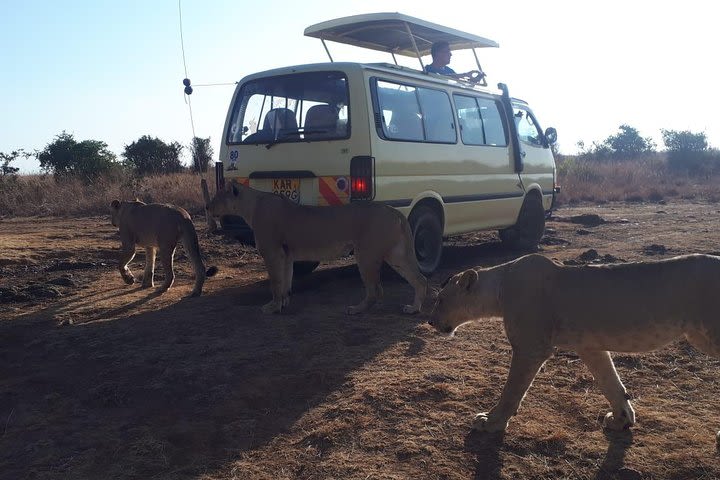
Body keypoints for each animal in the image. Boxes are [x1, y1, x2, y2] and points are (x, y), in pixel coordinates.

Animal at [205, 182, 424, 314]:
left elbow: (275, 282)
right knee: (419, 279)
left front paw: (272, 307)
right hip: (395, 254)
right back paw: (413, 308)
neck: (251, 205)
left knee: (376, 290)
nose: (207, 207)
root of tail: (394, 210)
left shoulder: (272, 252)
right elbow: (286, 281)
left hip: (367, 253)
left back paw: (356, 309)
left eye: (217, 196)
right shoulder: (286, 255)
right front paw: (283, 303)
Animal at [430, 253, 716, 444]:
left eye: (440, 299)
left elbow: (511, 390)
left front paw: (492, 422)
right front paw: (621, 419)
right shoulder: (590, 346)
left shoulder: (531, 347)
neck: (499, 288)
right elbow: (610, 382)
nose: (430, 321)